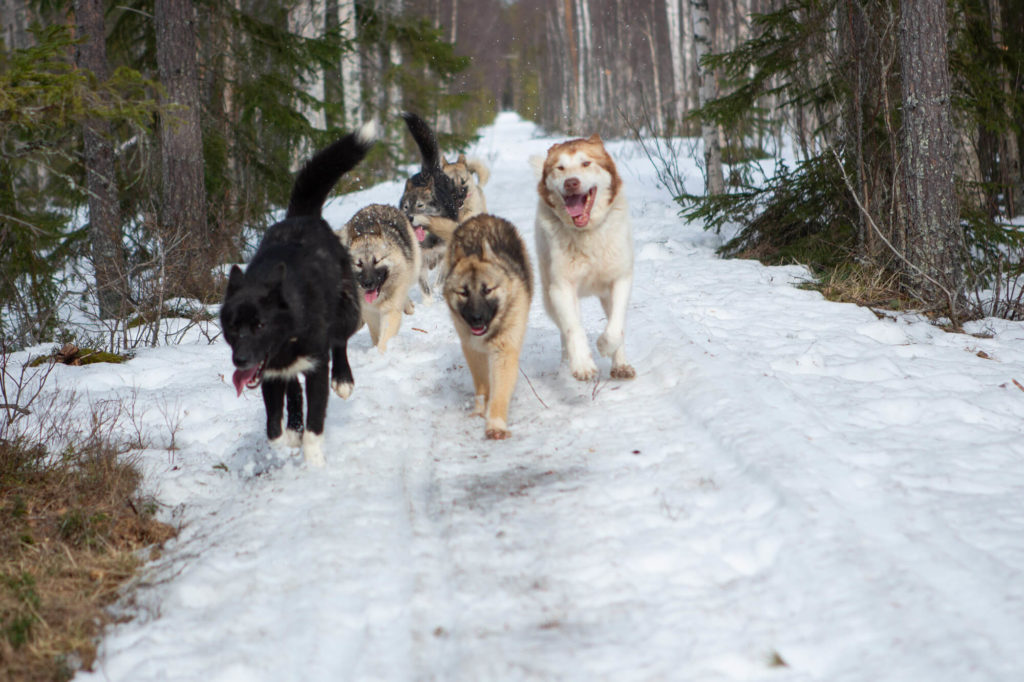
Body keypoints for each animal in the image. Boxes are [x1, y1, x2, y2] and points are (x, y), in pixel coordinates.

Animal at [220, 120, 376, 462]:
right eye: (233, 328)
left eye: (259, 325)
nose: (240, 360)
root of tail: (301, 215)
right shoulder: (270, 374)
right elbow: (273, 428)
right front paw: (288, 437)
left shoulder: (315, 368)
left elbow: (315, 424)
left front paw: (314, 463)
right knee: (293, 392)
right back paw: (294, 425)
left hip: (346, 309)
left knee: (340, 342)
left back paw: (343, 379)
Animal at [442, 212, 532, 438]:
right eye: (463, 292)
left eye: (487, 290)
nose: (476, 318)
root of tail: (480, 217)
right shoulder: (472, 349)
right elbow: (482, 385)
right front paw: (481, 411)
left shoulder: (504, 350)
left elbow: (499, 391)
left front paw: (496, 424)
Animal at [532, 132, 634, 376]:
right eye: (560, 168)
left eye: (586, 163)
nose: (571, 182)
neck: (587, 232)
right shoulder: (561, 287)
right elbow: (573, 328)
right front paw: (582, 364)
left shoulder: (620, 279)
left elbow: (616, 326)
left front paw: (605, 345)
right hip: (550, 295)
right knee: (564, 328)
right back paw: (566, 362)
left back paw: (620, 364)